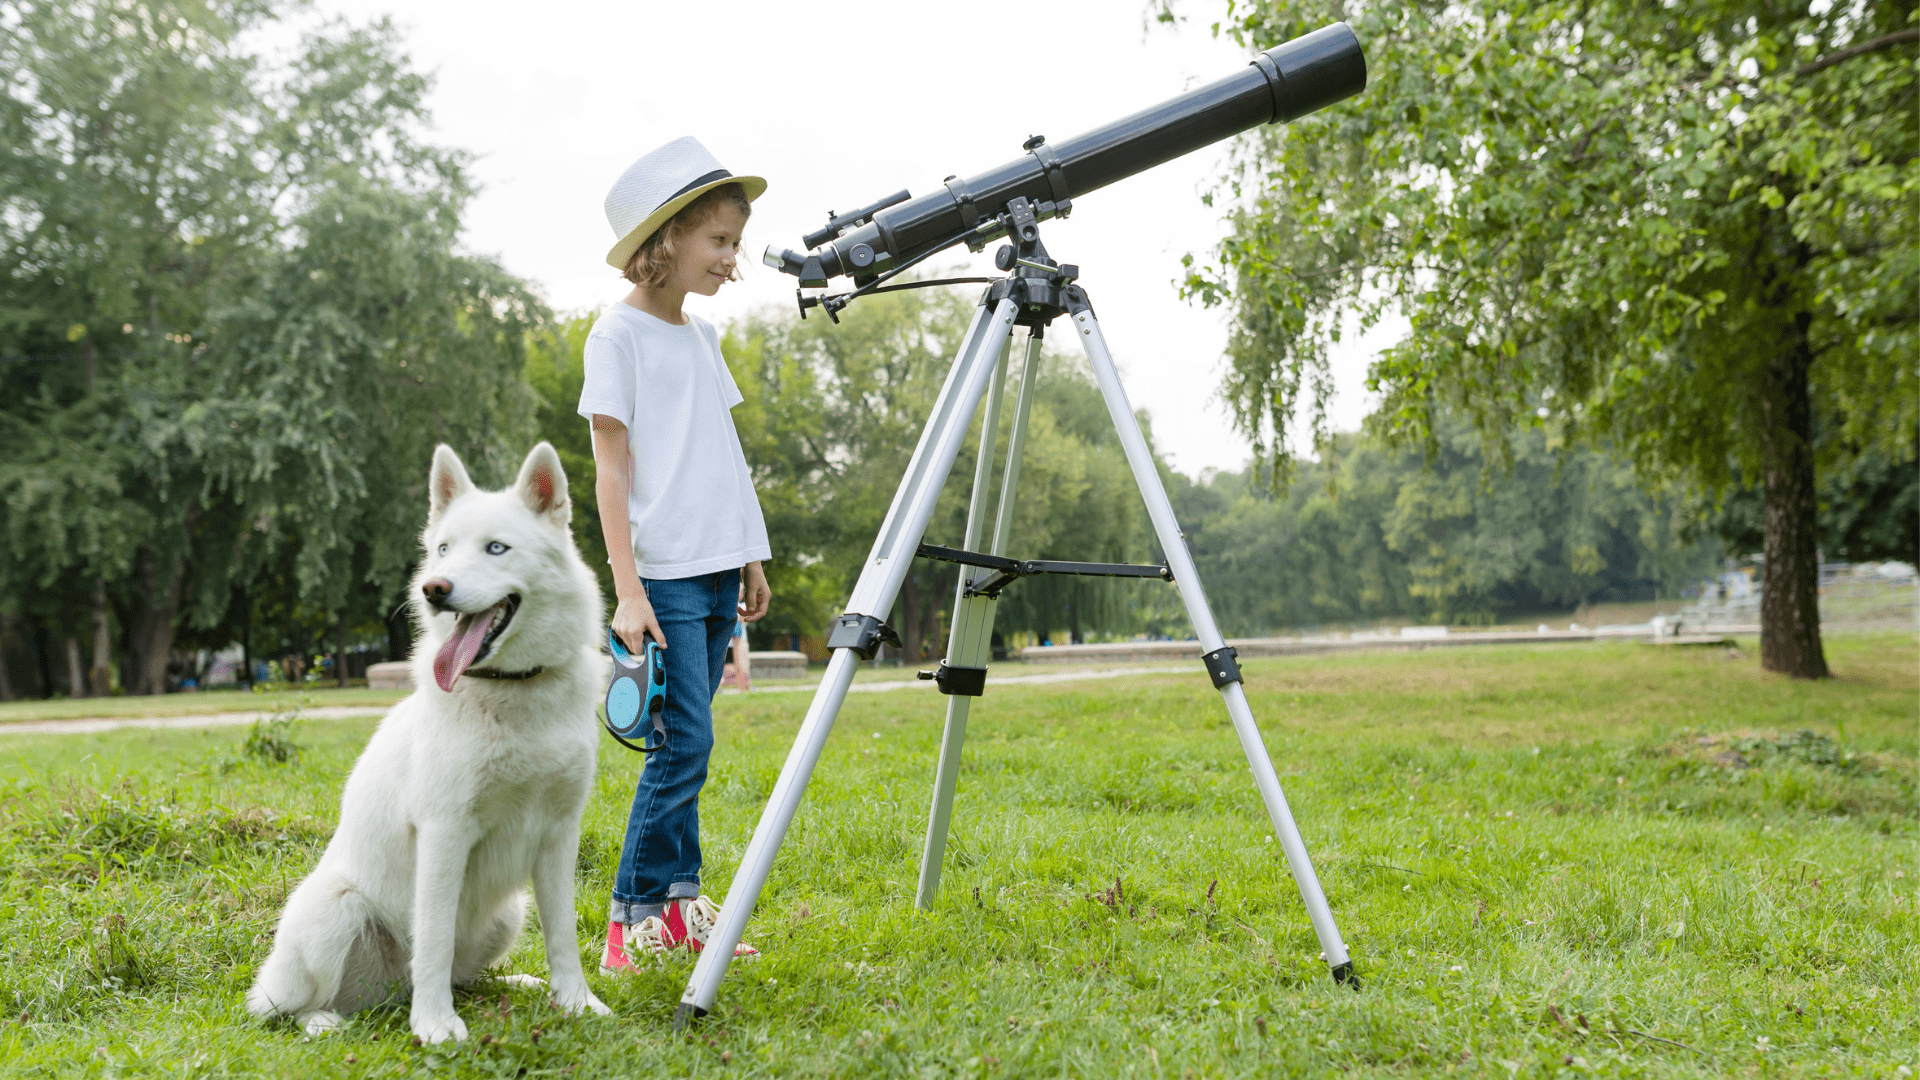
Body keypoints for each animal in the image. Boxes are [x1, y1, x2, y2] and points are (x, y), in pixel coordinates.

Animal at [245, 441, 606, 1037]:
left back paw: (515, 985)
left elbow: (564, 936)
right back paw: (331, 1021)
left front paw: (576, 1002)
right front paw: (436, 1027)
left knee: (465, 976)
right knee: (301, 1006)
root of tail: (391, 994)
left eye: (496, 548)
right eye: (441, 550)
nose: (433, 590)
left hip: (509, 912)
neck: (511, 691)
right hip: (335, 908)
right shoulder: (445, 834)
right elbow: (433, 940)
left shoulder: (558, 835)